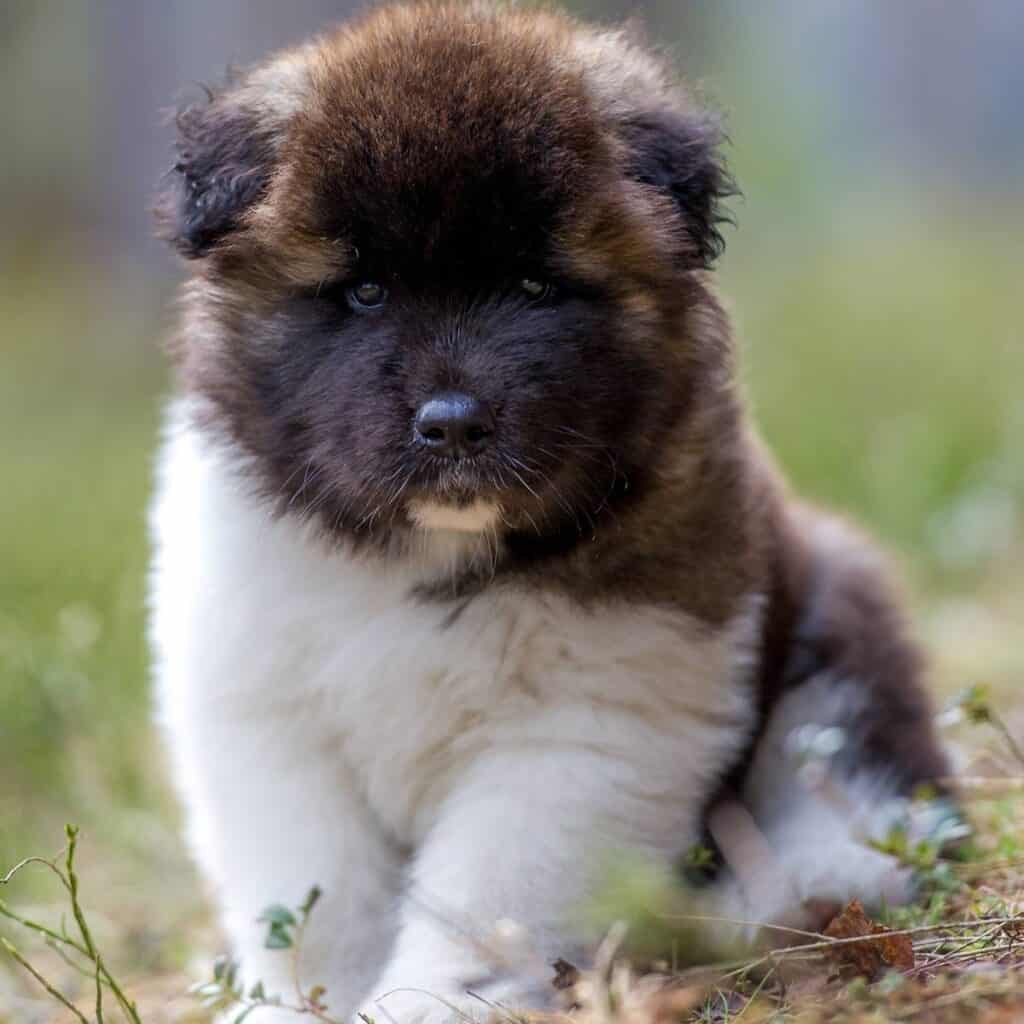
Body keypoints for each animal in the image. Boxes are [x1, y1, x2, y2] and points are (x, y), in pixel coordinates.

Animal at [149, 4, 950, 1019]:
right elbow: (320, 903)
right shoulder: (266, 719)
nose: (453, 424)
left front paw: (423, 1003)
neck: (425, 555)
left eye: (535, 284)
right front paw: (304, 1003)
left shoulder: (580, 736)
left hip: (838, 635)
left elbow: (482, 904)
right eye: (363, 290)